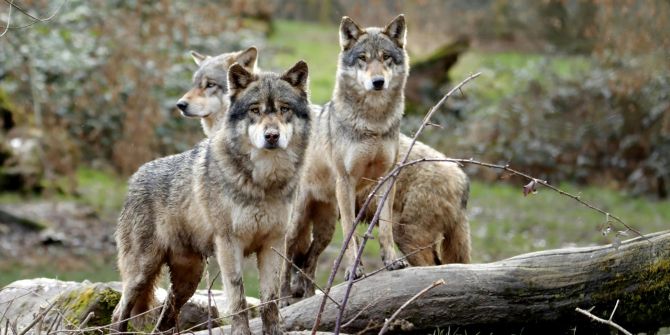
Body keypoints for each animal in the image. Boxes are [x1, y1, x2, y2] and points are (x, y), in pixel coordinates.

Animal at [114, 60, 314, 335]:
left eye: (284, 109)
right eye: (255, 110)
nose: (272, 136)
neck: (263, 182)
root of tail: (135, 177)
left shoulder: (273, 244)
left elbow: (270, 302)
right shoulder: (229, 245)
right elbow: (238, 300)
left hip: (188, 280)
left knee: (163, 320)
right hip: (141, 274)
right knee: (119, 312)